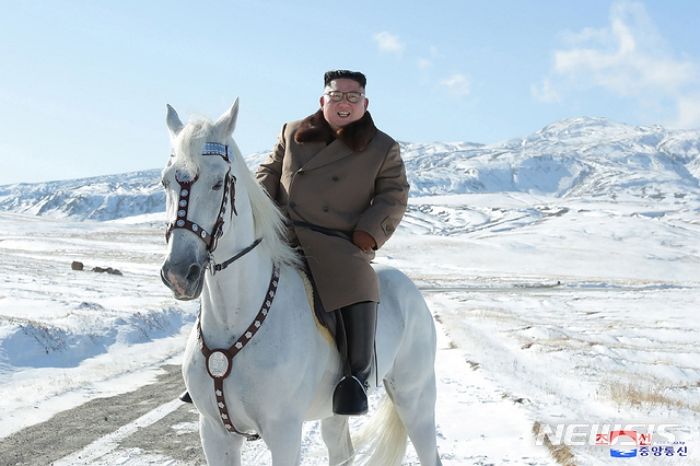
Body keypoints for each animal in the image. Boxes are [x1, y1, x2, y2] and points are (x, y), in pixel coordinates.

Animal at [161, 100, 440, 464]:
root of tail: (411, 290)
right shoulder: (214, 432)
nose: (180, 273)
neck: (232, 319)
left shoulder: (283, 432)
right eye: (165, 182)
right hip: (337, 412)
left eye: (219, 182)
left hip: (414, 395)